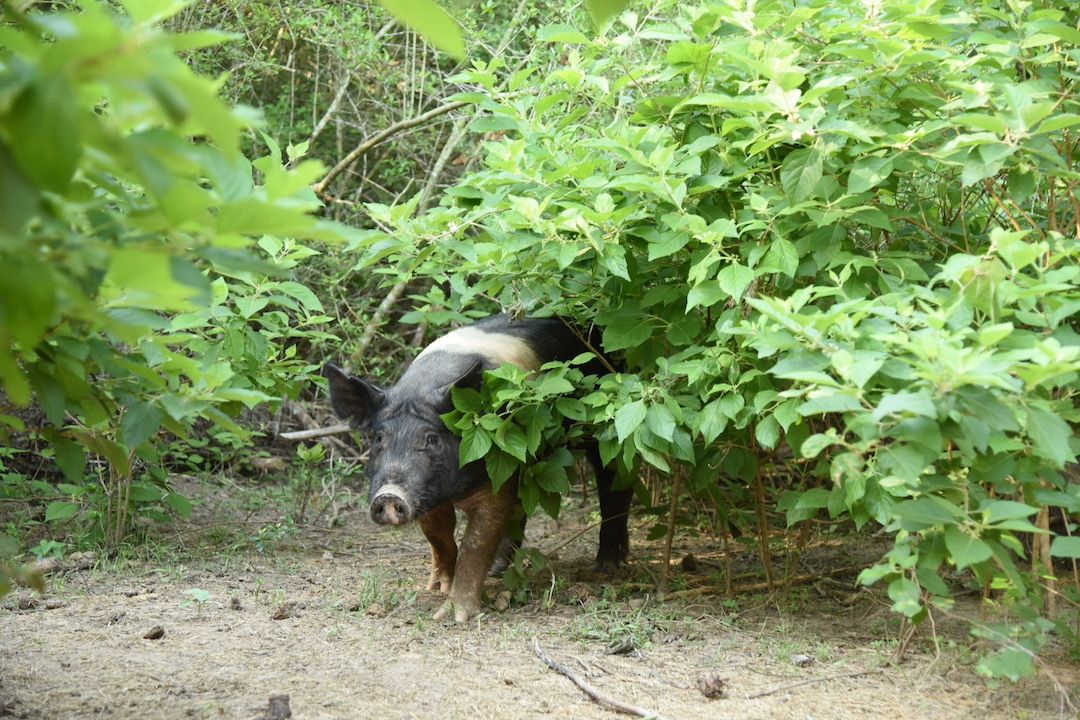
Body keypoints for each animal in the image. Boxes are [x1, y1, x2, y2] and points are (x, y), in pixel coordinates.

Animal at [323, 314, 631, 622]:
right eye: (378, 438)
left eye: (432, 439)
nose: (388, 495)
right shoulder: (427, 492)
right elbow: (439, 537)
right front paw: (437, 587)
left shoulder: (497, 472)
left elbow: (477, 541)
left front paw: (452, 616)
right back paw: (498, 570)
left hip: (599, 428)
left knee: (613, 484)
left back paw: (607, 567)